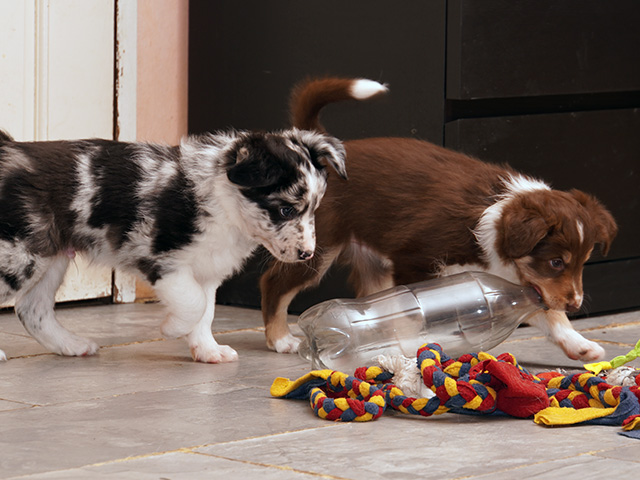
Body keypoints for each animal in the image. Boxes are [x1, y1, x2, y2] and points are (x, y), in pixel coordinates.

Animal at [0, 127, 346, 363]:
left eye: (313, 210)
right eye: (286, 209)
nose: (306, 254)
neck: (224, 202)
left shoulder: (207, 269)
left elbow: (206, 311)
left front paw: (208, 351)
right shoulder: (161, 260)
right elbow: (193, 304)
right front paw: (171, 329)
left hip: (50, 256)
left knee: (32, 309)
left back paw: (72, 345)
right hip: (19, 257)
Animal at [260, 77, 617, 362]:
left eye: (583, 263)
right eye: (556, 262)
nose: (576, 305)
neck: (495, 216)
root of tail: (323, 156)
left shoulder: (520, 285)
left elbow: (547, 313)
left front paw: (580, 345)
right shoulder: (414, 260)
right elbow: (414, 315)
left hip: (373, 262)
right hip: (316, 245)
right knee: (275, 283)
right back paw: (281, 339)